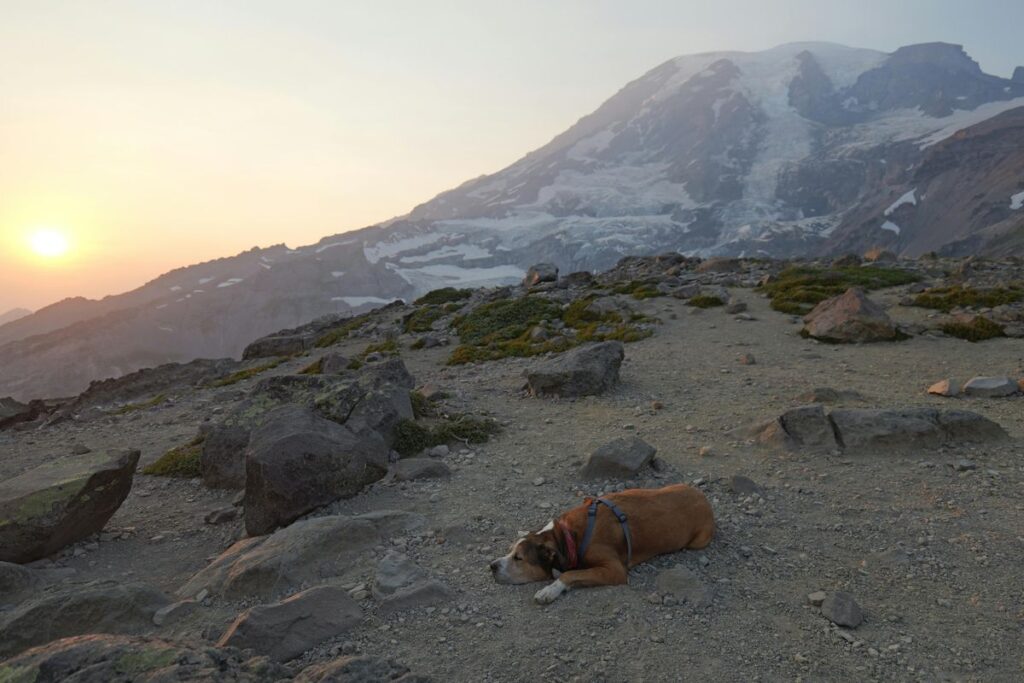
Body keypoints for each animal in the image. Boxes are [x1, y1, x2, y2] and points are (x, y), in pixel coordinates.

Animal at [487, 483, 712, 606]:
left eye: (519, 558)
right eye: (509, 551)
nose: (491, 566)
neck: (566, 537)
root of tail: (704, 499)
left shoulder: (615, 571)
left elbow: (570, 574)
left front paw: (548, 591)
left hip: (699, 541)